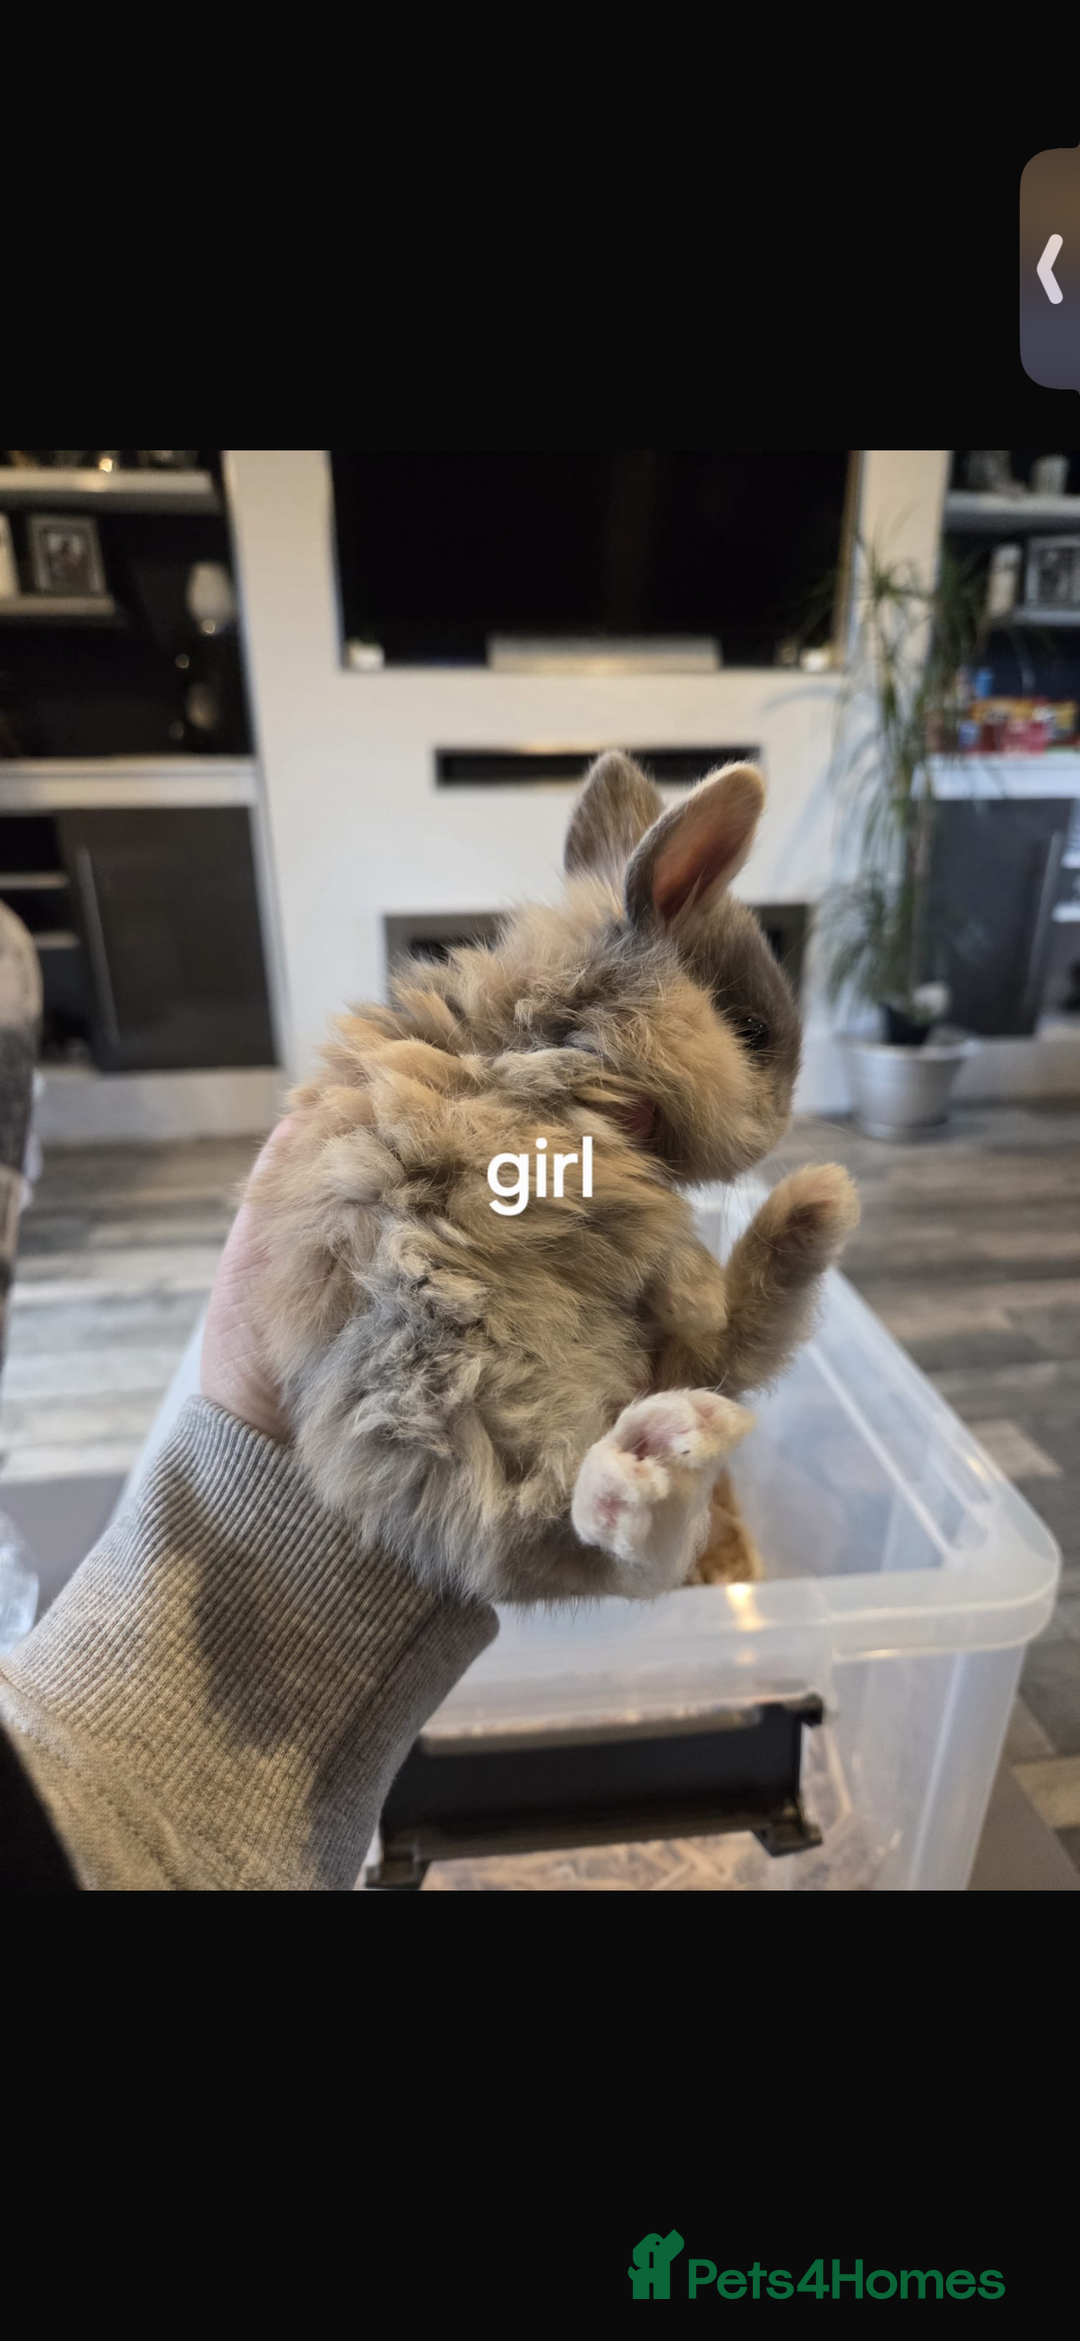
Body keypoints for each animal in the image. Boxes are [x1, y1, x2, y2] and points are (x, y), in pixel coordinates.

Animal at [247, 753, 859, 1606]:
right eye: (753, 1030)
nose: (778, 1125)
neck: (566, 1028)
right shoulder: (585, 1173)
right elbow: (666, 1246)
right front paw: (697, 1291)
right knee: (586, 1525)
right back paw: (653, 1451)